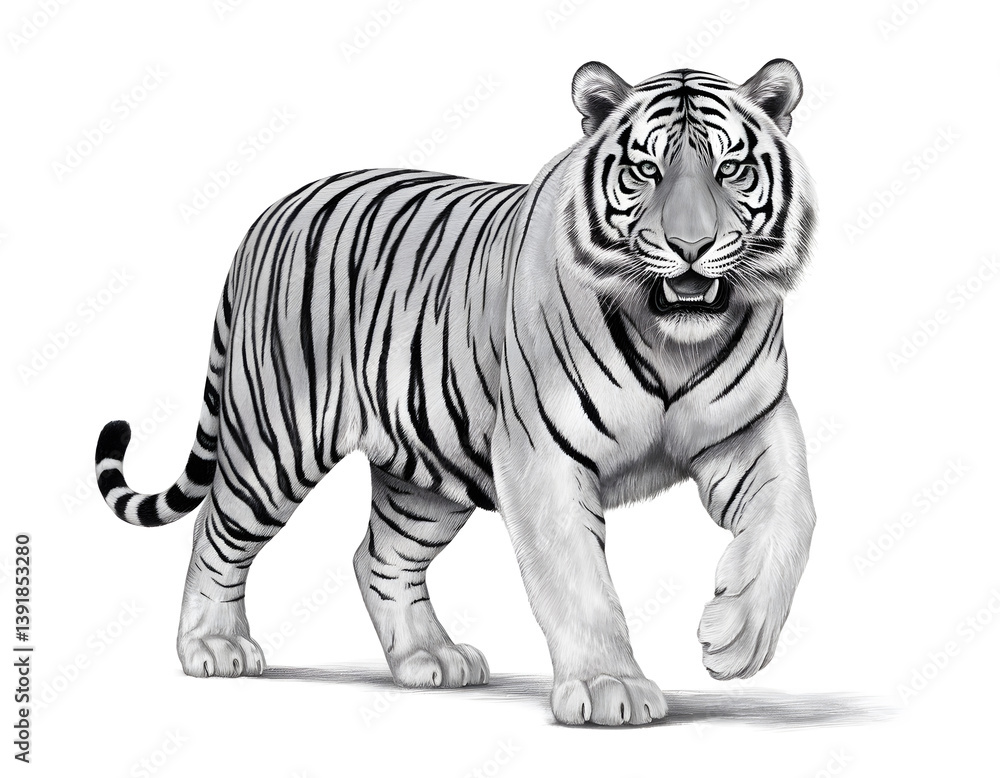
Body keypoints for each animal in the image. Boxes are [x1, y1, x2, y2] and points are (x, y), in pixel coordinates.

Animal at [95, 59, 818, 726]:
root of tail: (269, 216)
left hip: (425, 475)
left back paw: (429, 658)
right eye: (645, 170)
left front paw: (736, 638)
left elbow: (793, 519)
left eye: (731, 170)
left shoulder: (754, 427)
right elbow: (579, 581)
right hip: (275, 444)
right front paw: (608, 686)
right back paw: (213, 646)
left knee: (378, 557)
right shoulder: (543, 456)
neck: (674, 340)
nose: (690, 245)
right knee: (215, 531)